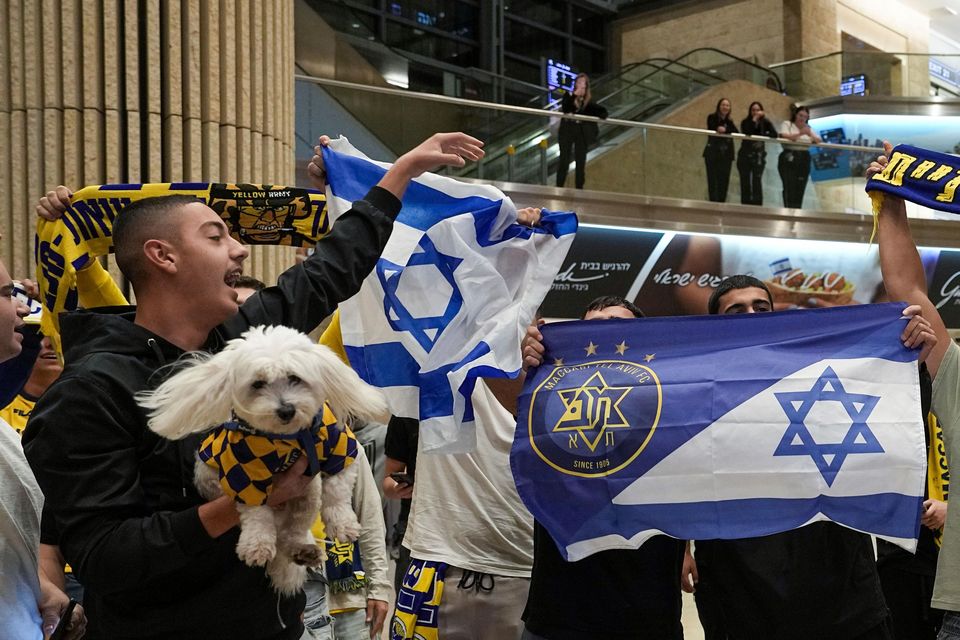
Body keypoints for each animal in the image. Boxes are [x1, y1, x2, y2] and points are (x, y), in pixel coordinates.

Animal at [136, 324, 390, 596]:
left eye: (294, 378)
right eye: (258, 384)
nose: (286, 410)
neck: (288, 438)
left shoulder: (339, 449)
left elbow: (337, 493)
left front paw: (342, 524)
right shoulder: (244, 475)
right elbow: (257, 514)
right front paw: (256, 545)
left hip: (309, 495)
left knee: (293, 530)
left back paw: (303, 550)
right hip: (211, 478)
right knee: (276, 528)